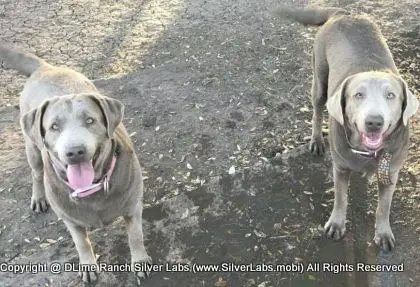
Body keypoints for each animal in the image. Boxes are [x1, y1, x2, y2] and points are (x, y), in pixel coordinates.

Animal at [0, 46, 151, 284]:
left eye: (90, 120)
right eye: (54, 126)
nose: (74, 152)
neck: (92, 188)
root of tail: (47, 67)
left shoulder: (133, 206)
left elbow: (135, 236)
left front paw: (140, 261)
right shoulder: (70, 220)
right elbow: (82, 243)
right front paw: (88, 265)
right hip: (32, 148)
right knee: (36, 173)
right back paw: (38, 197)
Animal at [278, 7, 418, 252]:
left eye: (391, 95)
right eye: (358, 95)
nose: (374, 122)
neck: (367, 152)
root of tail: (342, 12)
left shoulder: (391, 172)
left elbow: (384, 206)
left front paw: (383, 233)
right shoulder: (341, 167)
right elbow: (341, 198)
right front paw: (336, 224)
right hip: (319, 78)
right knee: (317, 111)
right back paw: (316, 140)